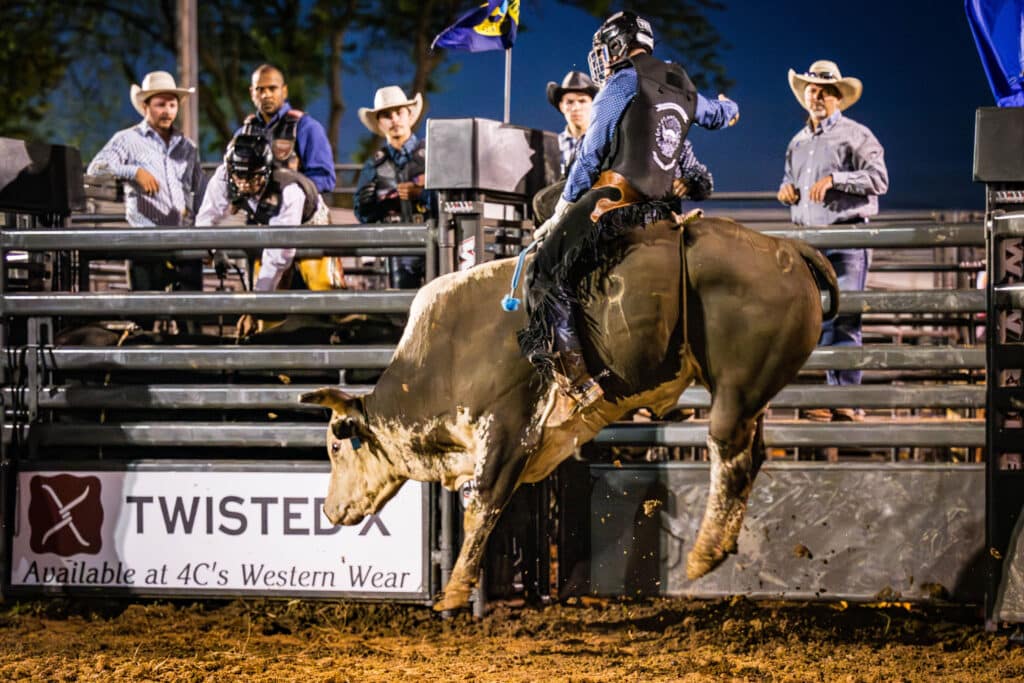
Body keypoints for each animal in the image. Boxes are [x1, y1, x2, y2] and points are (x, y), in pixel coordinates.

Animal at [299, 214, 835, 610]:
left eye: (335, 446)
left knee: (729, 452)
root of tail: (786, 249)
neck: (441, 358)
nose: (329, 510)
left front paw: (453, 594)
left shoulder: (508, 430)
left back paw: (703, 555)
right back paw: (717, 548)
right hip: (752, 392)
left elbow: (482, 508)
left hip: (736, 386)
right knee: (750, 454)